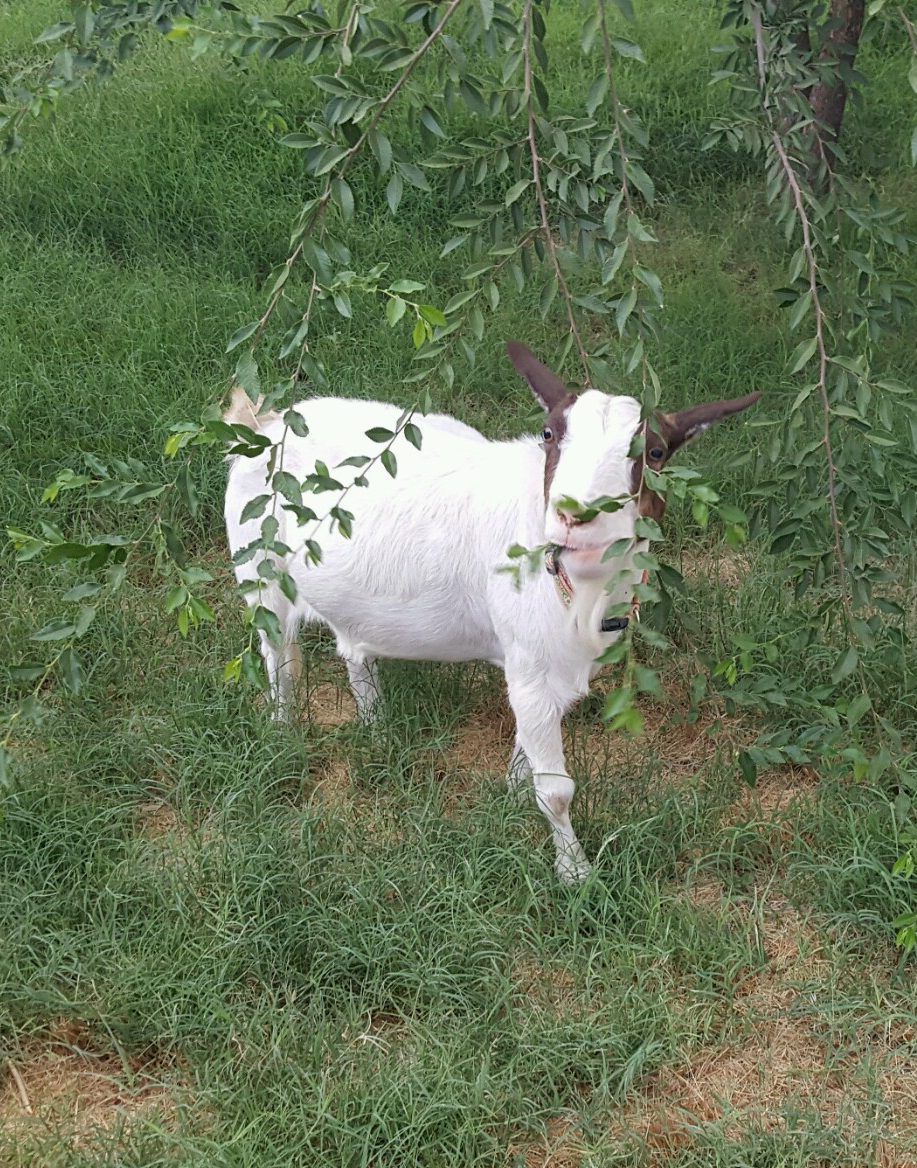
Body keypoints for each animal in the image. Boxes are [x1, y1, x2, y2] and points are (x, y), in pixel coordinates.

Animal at [223, 341, 756, 878]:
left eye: (656, 452)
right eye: (549, 435)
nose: (574, 517)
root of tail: (266, 422)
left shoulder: (554, 668)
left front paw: (512, 792)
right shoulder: (530, 662)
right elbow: (557, 791)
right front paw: (575, 873)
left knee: (353, 648)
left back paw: (377, 728)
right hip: (260, 568)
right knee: (280, 654)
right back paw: (284, 729)